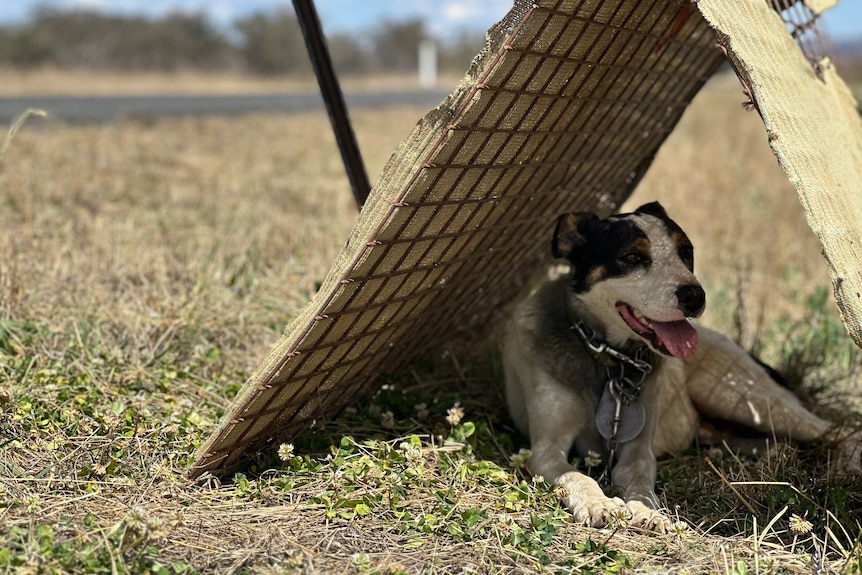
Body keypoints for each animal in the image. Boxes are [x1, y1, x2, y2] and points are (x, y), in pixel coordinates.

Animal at [502, 202, 848, 532]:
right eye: (632, 257)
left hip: (744, 399)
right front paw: (598, 504)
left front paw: (647, 511)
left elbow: (640, 480)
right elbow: (577, 476)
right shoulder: (546, 449)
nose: (695, 296)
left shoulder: (638, 451)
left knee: (839, 432)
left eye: (686, 252)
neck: (608, 361)